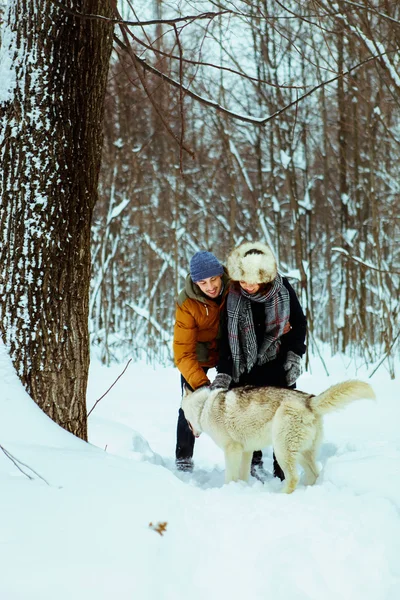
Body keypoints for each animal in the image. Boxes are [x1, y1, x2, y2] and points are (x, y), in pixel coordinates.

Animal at [181, 380, 376, 492]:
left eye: (182, 412)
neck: (204, 406)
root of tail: (309, 400)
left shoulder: (232, 451)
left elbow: (230, 477)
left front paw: (228, 490)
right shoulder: (246, 451)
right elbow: (243, 476)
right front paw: (242, 488)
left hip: (282, 450)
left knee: (293, 478)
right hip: (301, 453)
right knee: (314, 474)